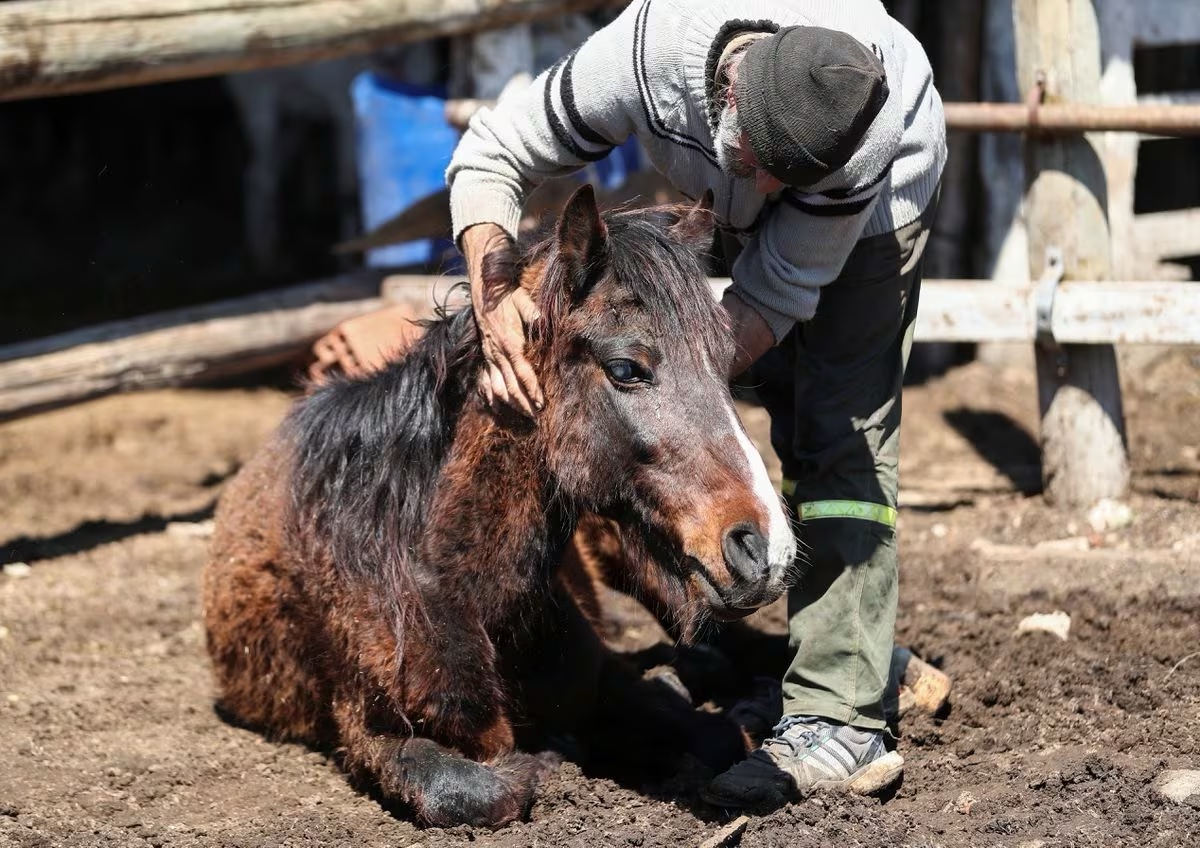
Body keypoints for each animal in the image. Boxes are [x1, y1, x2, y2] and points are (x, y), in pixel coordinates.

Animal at [201, 185, 796, 830]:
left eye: (727, 362)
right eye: (625, 368)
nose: (765, 547)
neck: (451, 589)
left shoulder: (604, 678)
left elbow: (717, 737)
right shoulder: (373, 733)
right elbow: (480, 789)